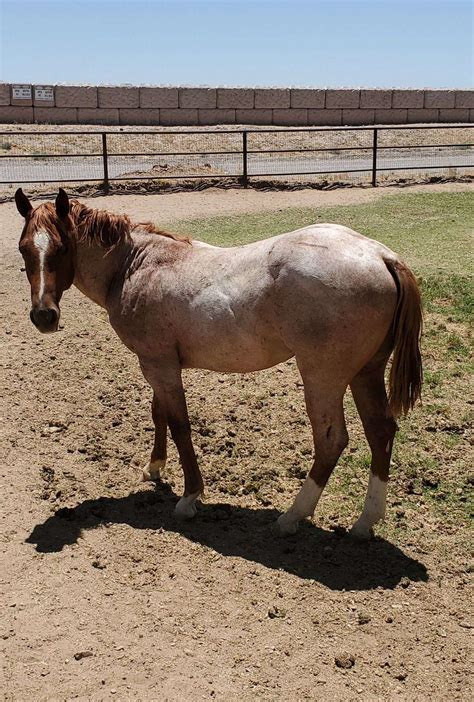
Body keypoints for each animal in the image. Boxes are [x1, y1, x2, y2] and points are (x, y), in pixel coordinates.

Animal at [14, 187, 422, 540]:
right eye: (23, 249)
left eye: (62, 248)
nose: (44, 316)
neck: (134, 266)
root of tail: (381, 256)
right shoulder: (157, 363)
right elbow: (159, 414)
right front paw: (154, 468)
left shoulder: (160, 365)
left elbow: (179, 424)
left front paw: (189, 497)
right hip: (366, 373)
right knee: (381, 432)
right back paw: (365, 523)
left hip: (323, 378)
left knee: (331, 441)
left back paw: (291, 516)